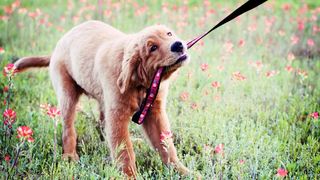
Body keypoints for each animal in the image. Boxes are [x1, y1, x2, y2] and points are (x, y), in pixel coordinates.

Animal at [14, 20, 190, 176]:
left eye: (169, 34)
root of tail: (57, 47)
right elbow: (124, 151)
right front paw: (130, 175)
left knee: (102, 126)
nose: (178, 44)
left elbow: (166, 145)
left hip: (103, 100)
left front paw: (181, 170)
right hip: (66, 92)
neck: (141, 84)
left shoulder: (154, 111)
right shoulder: (117, 115)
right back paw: (70, 156)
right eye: (152, 48)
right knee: (68, 128)